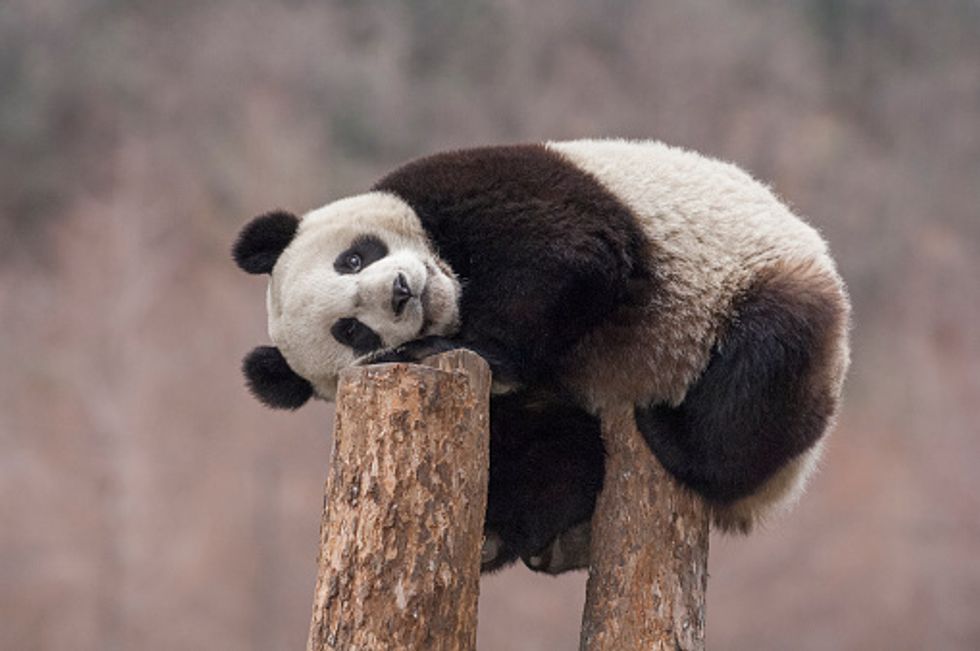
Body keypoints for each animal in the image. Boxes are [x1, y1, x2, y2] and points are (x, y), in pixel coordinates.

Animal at [233, 139, 850, 575]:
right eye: (352, 331)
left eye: (354, 259)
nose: (403, 292)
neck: (456, 286)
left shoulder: (472, 185)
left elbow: (575, 250)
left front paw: (459, 345)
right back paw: (534, 539)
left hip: (753, 280)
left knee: (766, 357)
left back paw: (674, 437)